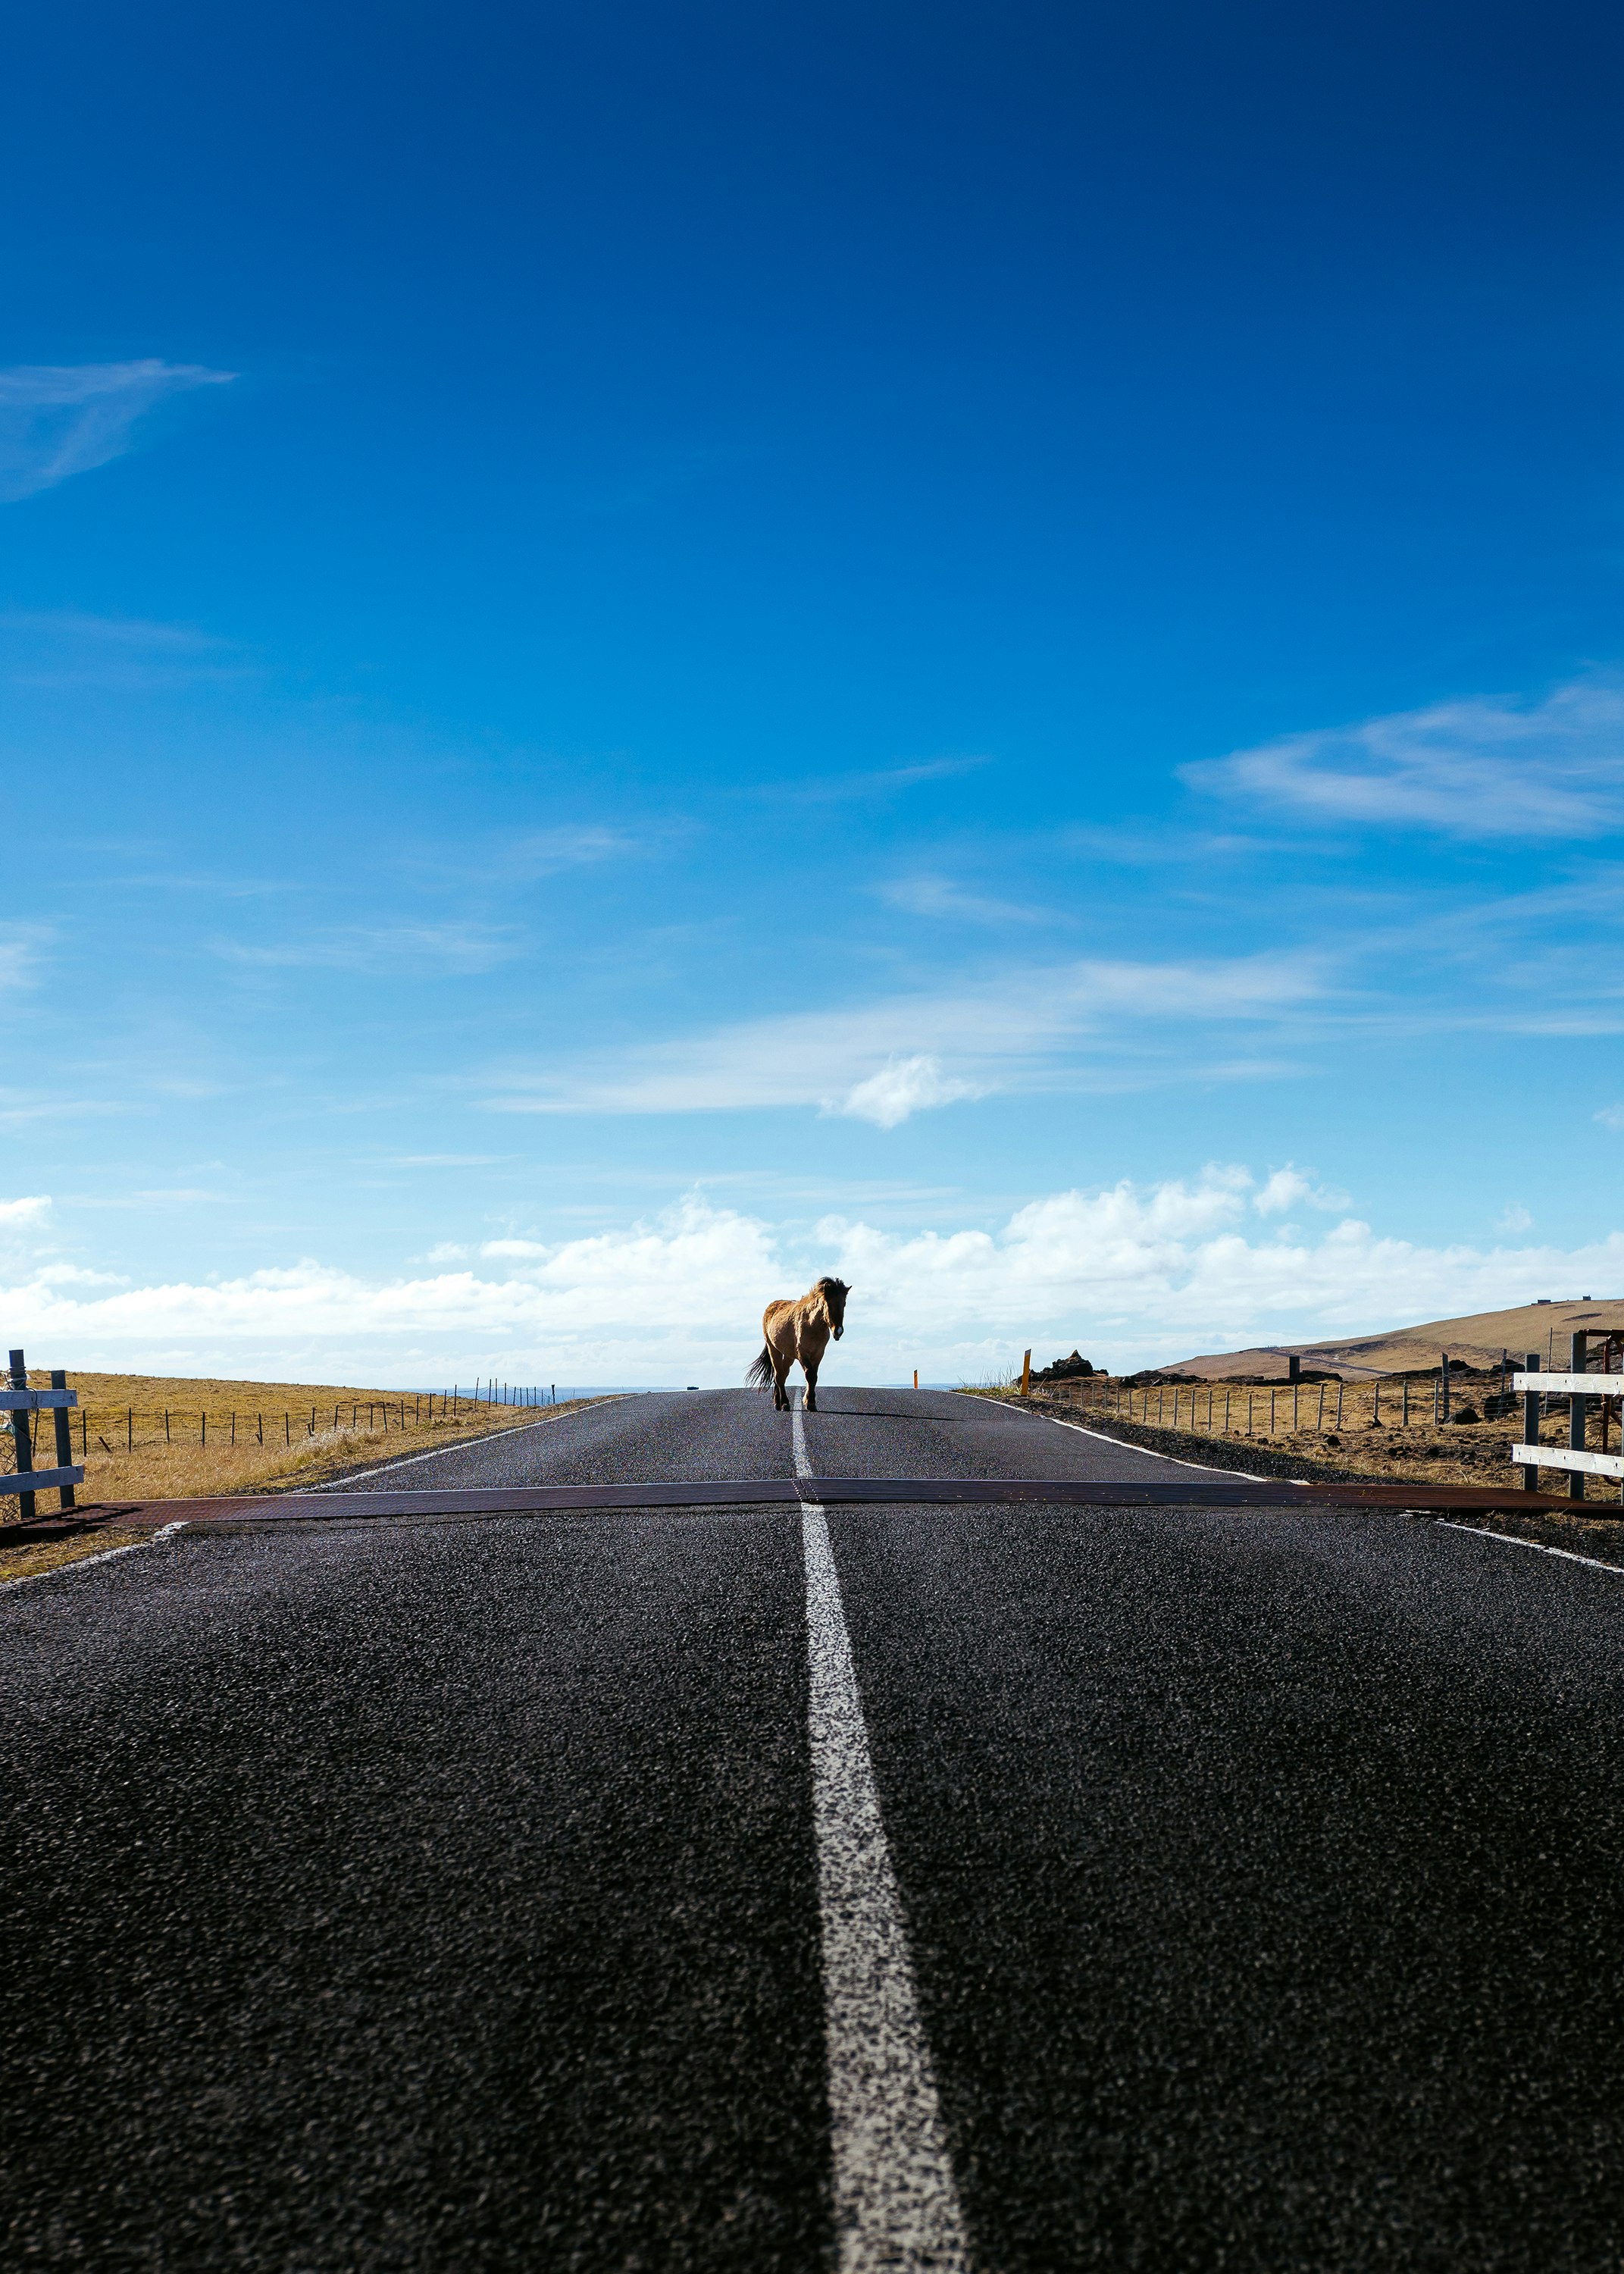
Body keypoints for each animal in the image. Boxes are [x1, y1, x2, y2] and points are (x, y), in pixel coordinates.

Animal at [746, 1283, 846, 1401]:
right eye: (829, 1303)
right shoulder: (802, 1353)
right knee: (779, 1375)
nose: (838, 1331)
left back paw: (778, 1399)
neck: (811, 1325)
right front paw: (809, 1401)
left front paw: (809, 1399)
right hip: (773, 1350)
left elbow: (814, 1376)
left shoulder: (818, 1354)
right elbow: (810, 1374)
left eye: (844, 1304)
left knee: (783, 1373)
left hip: (789, 1355)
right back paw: (783, 1402)